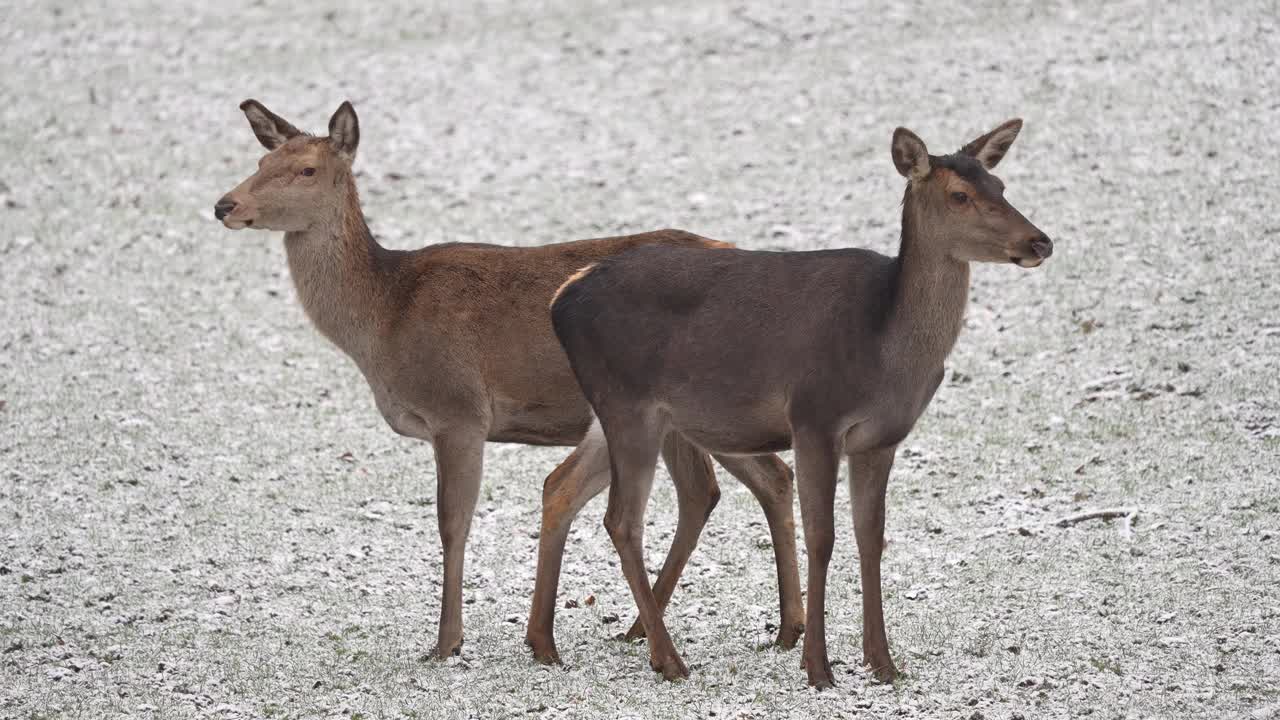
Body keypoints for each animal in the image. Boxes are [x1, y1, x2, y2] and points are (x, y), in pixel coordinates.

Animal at [213, 99, 803, 661]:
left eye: (307, 169)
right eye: (261, 162)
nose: (225, 205)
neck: (384, 320)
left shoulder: (458, 411)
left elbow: (452, 523)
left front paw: (447, 643)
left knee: (726, 484)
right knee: (745, 482)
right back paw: (762, 630)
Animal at [547, 117, 1049, 681]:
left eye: (1000, 186)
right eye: (960, 195)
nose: (1040, 241)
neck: (884, 346)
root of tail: (561, 298)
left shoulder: (881, 439)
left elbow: (871, 537)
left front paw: (883, 663)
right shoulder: (814, 417)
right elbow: (822, 536)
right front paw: (818, 668)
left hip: (617, 415)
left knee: (567, 489)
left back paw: (553, 645)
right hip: (628, 404)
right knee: (622, 520)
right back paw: (669, 659)